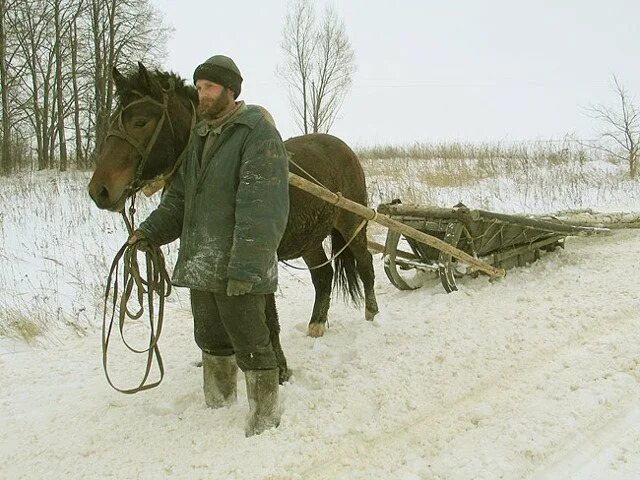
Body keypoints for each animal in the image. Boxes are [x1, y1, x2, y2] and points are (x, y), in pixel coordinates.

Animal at [87, 62, 378, 378]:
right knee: (323, 276)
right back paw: (316, 324)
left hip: (352, 223)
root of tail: (344, 149)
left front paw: (280, 370)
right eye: (113, 121)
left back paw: (372, 314)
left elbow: (267, 320)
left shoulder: (257, 262)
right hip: (309, 237)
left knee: (365, 264)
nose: (99, 190)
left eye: (140, 122)